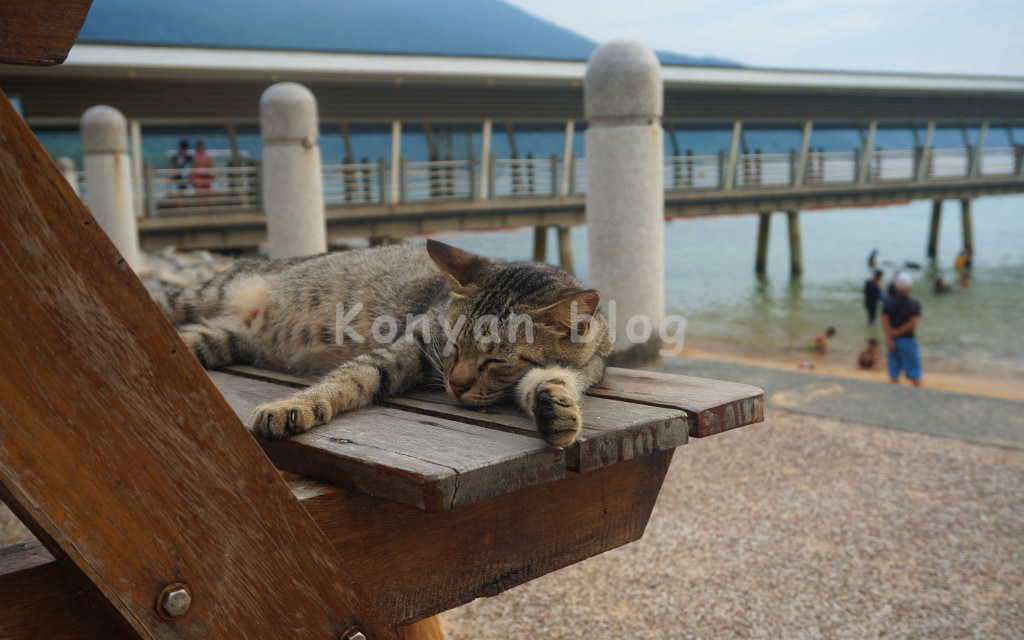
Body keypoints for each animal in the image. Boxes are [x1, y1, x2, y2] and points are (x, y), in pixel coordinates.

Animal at [155, 238, 610, 444]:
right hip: (197, 296)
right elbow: (349, 379)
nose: (455, 385)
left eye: (496, 360)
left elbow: (553, 380)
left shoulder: (583, 369)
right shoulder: (407, 346)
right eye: (450, 344)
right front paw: (294, 406)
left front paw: (557, 409)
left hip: (219, 339)